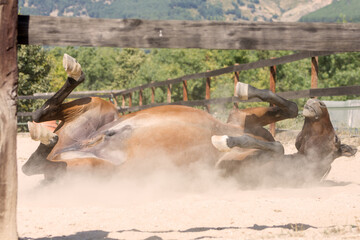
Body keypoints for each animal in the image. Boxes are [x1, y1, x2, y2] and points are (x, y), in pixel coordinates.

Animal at [23, 54, 358, 186]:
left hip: (89, 169)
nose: (319, 103)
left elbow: (271, 145)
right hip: (98, 107)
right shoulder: (243, 119)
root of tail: (69, 149)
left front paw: (222, 140)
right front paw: (243, 87)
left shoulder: (233, 163)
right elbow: (287, 107)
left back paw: (47, 137)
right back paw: (71, 75)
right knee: (43, 115)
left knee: (34, 166)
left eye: (336, 140)